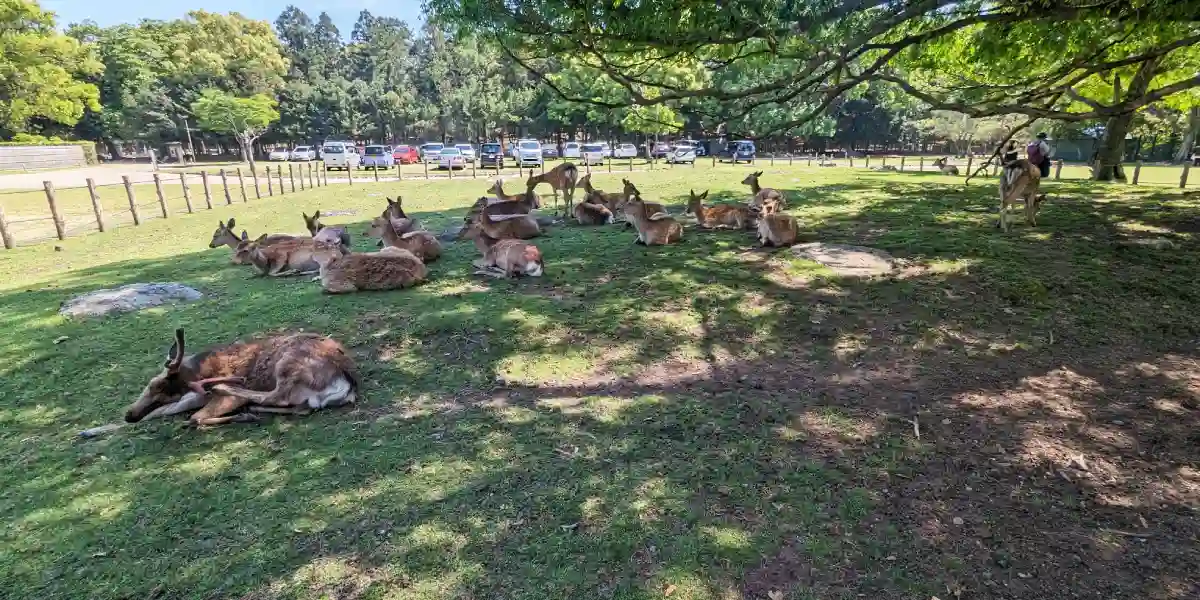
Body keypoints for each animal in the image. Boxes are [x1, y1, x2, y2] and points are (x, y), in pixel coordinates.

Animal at [125, 328, 364, 427]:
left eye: (154, 385)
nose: (129, 415)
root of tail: (347, 385)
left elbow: (194, 418)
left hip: (288, 364)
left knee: (277, 396)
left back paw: (229, 392)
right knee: (300, 408)